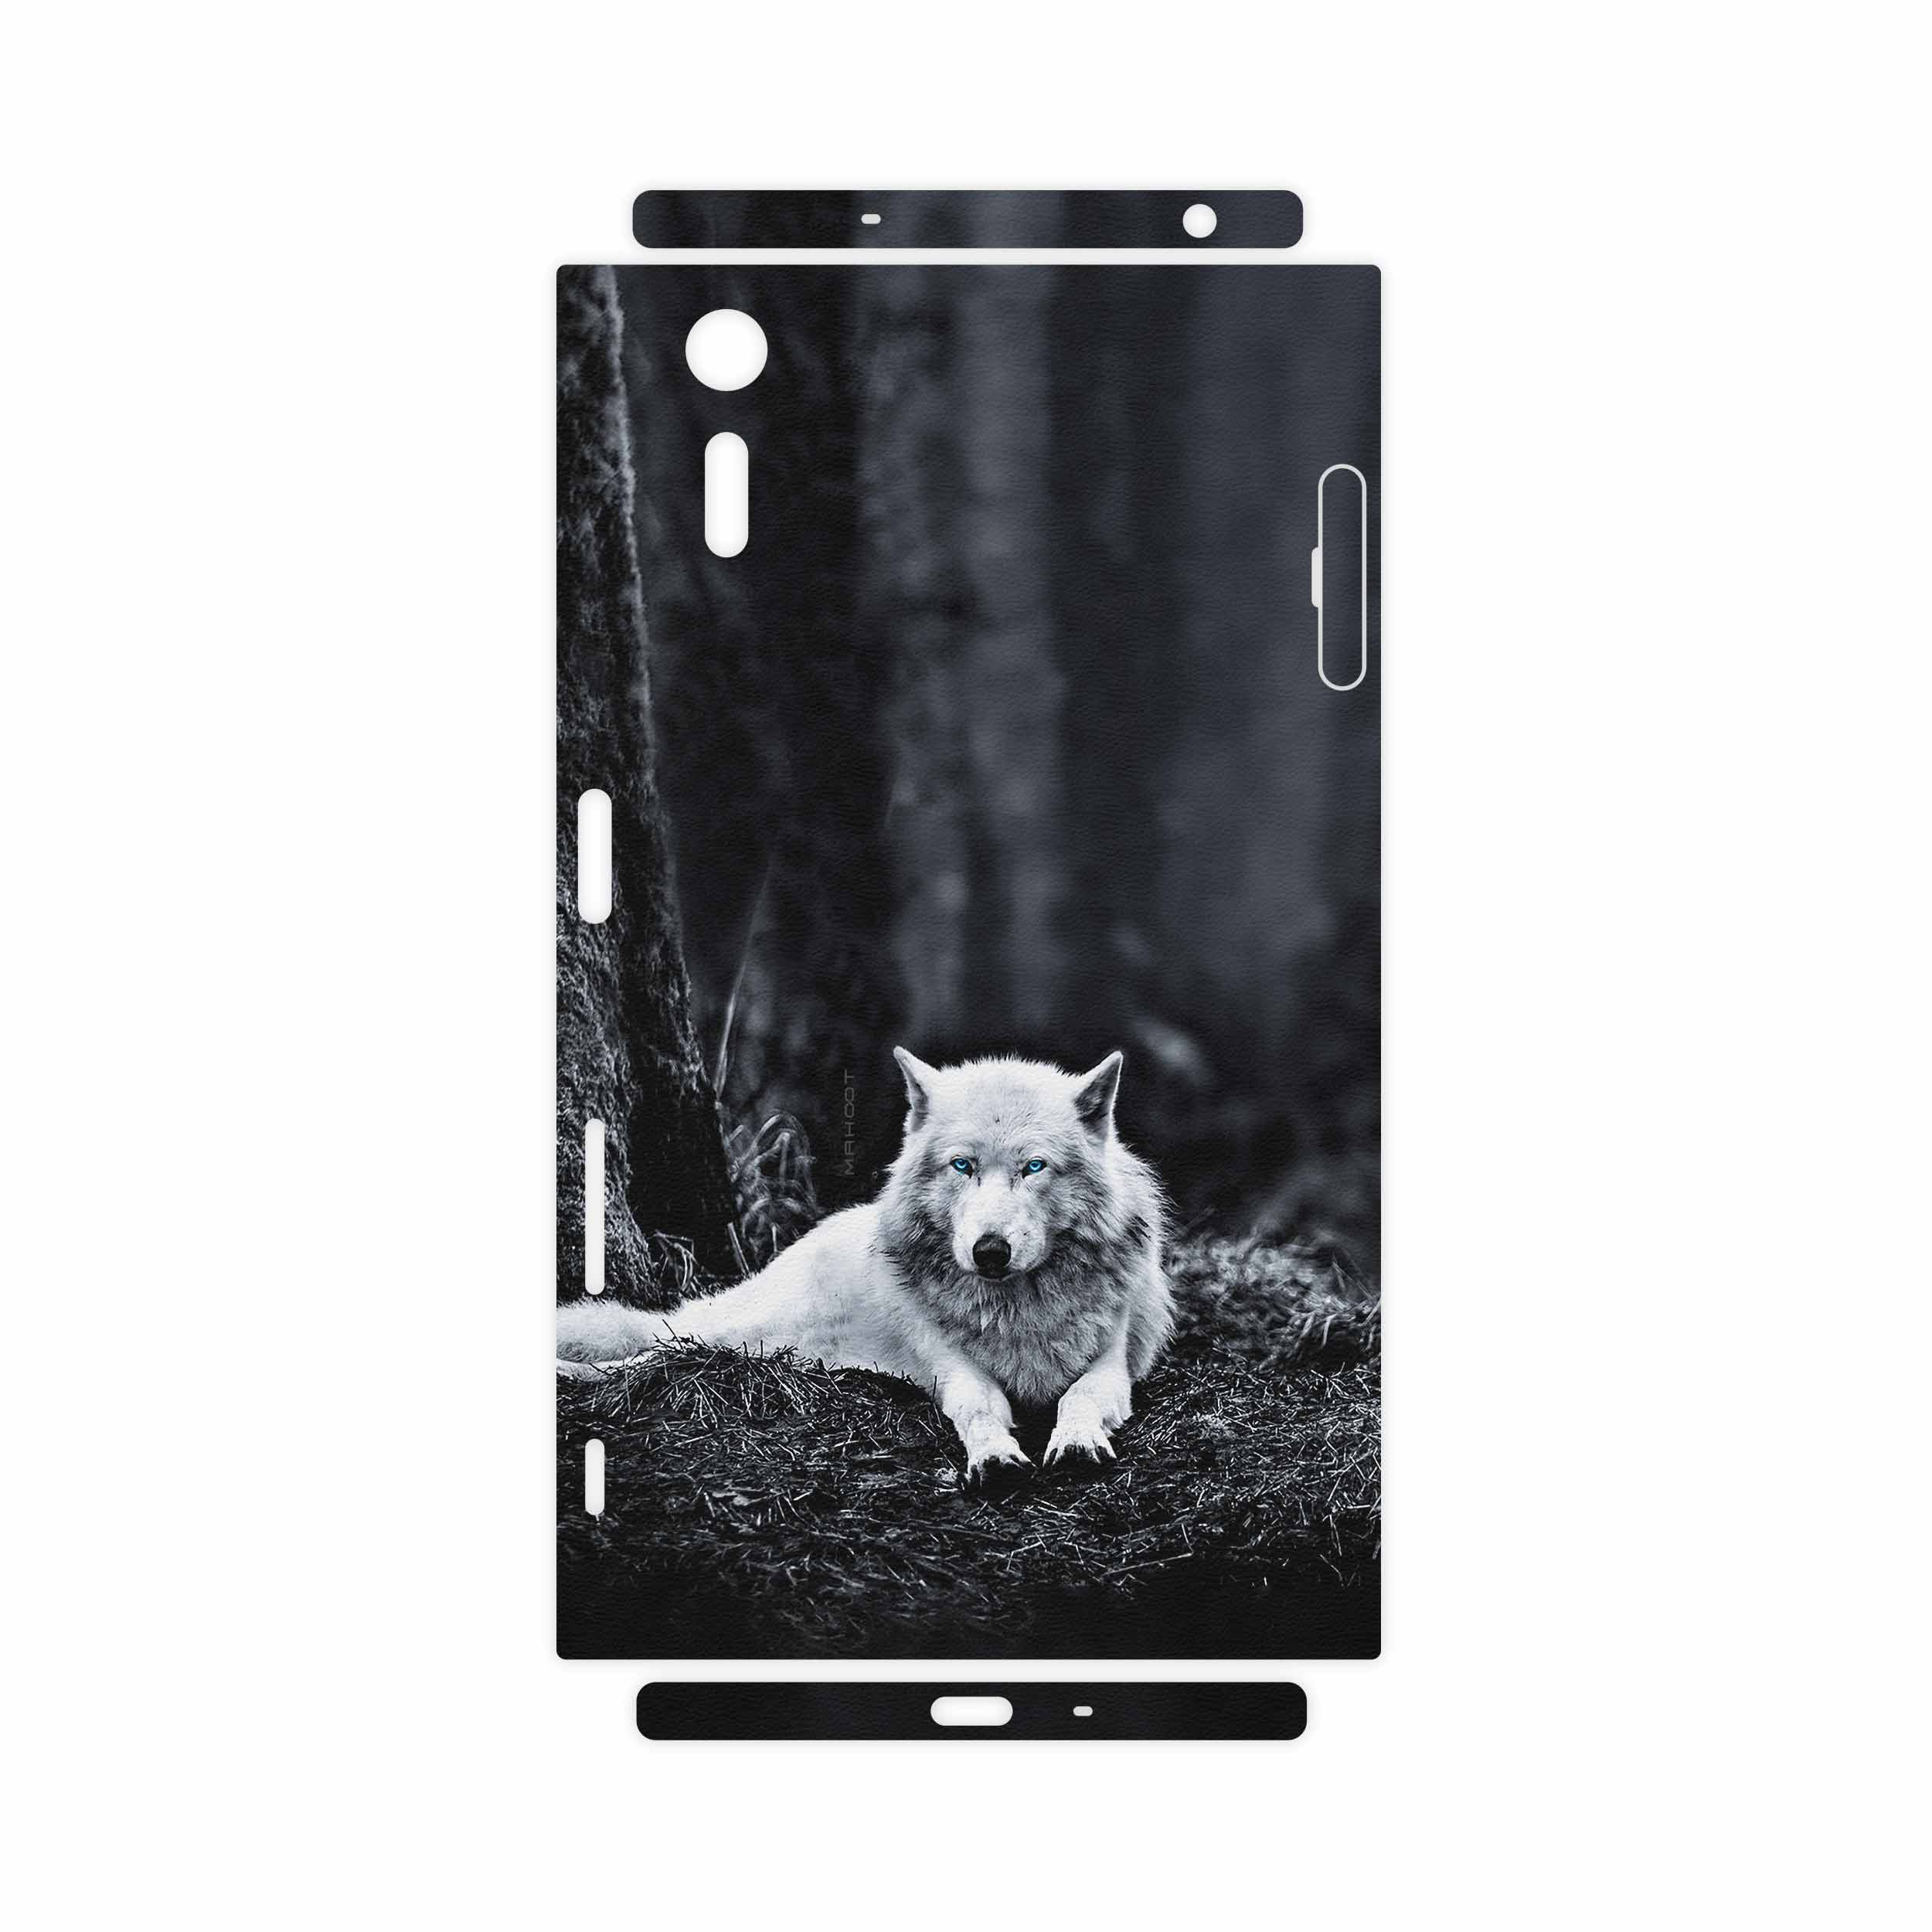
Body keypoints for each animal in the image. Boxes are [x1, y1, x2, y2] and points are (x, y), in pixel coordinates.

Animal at [557, 1048, 1172, 1492]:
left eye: (1035, 1167)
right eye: (962, 1166)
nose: (990, 1251)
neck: (1016, 1310)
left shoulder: (1112, 1366)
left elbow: (1080, 1398)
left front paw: (1075, 1443)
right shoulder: (952, 1369)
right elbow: (977, 1408)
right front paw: (995, 1456)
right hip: (737, 1333)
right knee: (653, 1348)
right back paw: (576, 1371)